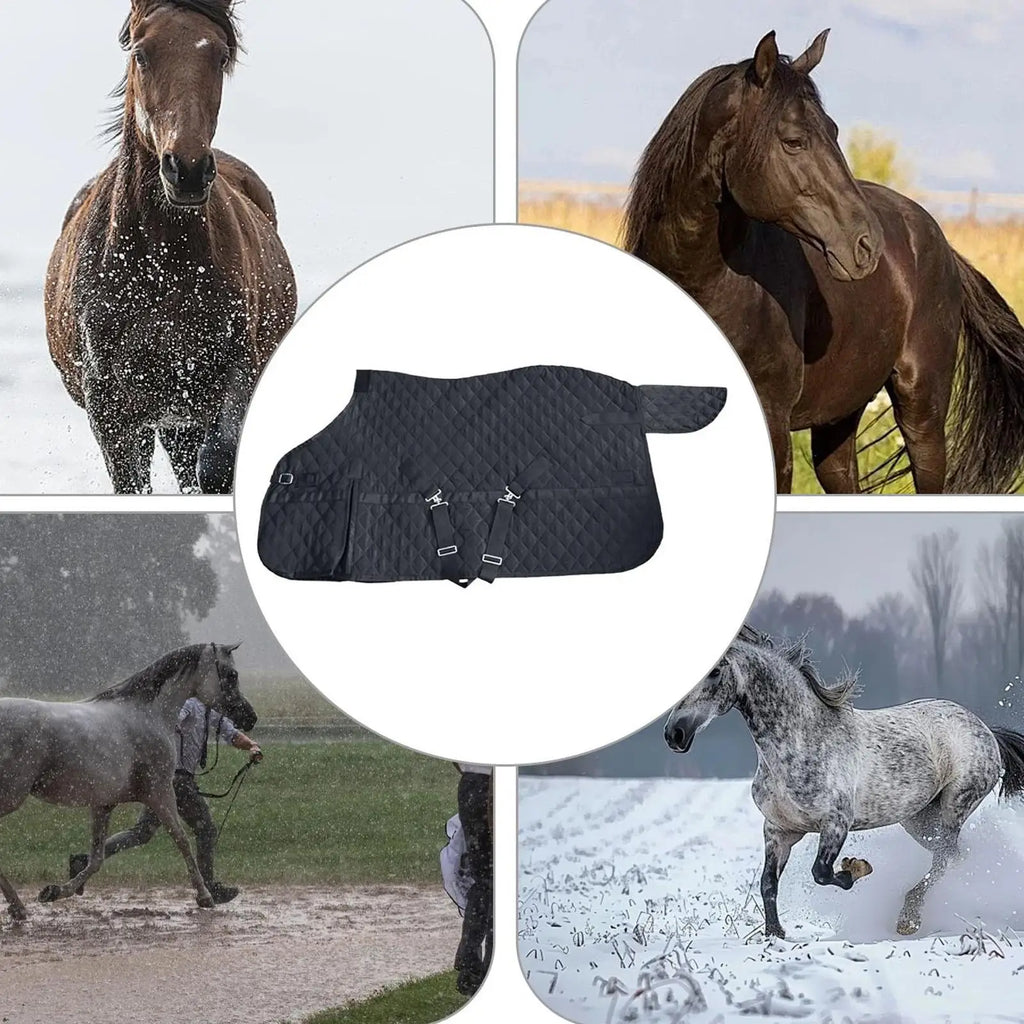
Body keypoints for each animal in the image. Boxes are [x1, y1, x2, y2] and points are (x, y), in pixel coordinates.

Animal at [0, 642, 256, 922]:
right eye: (232, 674)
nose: (250, 717)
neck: (148, 713)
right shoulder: (161, 793)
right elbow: (182, 840)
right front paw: (205, 897)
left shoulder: (103, 804)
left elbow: (97, 858)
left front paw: (55, 891)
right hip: (10, 797)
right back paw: (17, 907)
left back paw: (18, 908)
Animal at [45, 0, 296, 494]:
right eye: (142, 53)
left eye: (219, 55)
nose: (188, 170)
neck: (160, 264)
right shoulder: (111, 411)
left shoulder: (235, 372)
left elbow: (218, 463)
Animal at [625, 30, 1024, 494]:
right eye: (794, 141)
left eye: (833, 130)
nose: (866, 245)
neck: (705, 284)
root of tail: (940, 242)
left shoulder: (773, 428)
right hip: (841, 416)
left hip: (922, 409)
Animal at [663, 626, 1024, 938]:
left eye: (715, 671)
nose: (674, 734)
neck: (798, 742)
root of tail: (985, 730)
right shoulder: (778, 831)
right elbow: (768, 883)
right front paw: (775, 934)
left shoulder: (836, 822)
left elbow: (821, 873)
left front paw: (856, 868)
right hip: (920, 819)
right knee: (955, 858)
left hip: (954, 806)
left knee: (945, 858)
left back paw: (909, 918)